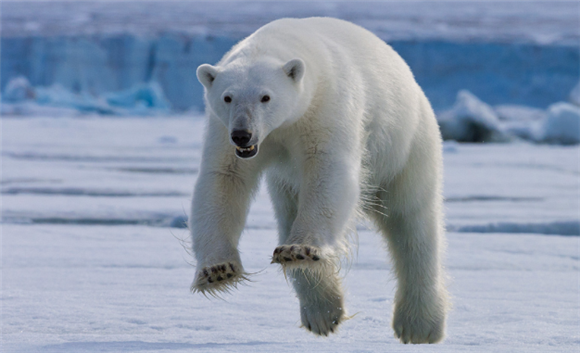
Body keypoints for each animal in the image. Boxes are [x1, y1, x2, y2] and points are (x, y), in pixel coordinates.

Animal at [190, 17, 448, 344]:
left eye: (265, 96)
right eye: (227, 97)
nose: (243, 134)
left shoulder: (325, 109)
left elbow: (328, 171)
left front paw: (299, 249)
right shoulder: (224, 132)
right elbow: (223, 180)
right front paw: (217, 270)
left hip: (406, 146)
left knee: (413, 223)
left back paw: (419, 325)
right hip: (286, 183)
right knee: (289, 211)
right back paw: (322, 312)